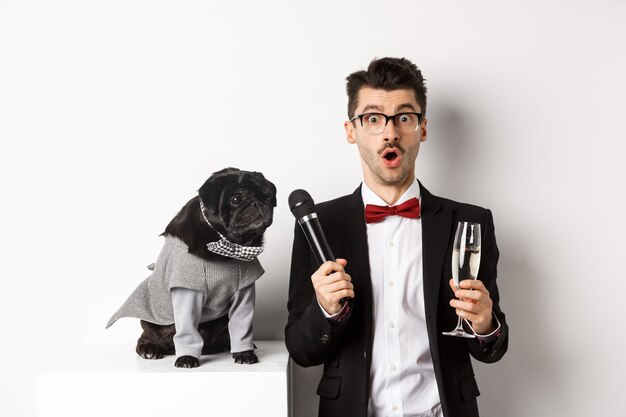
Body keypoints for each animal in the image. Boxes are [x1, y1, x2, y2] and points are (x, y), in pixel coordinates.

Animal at [107, 167, 276, 366]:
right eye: (236, 199)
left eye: (268, 196)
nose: (258, 203)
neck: (228, 244)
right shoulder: (187, 291)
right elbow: (187, 330)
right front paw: (186, 357)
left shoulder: (244, 293)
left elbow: (242, 327)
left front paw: (244, 353)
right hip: (153, 325)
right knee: (146, 337)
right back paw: (149, 349)